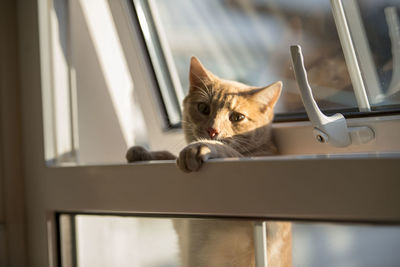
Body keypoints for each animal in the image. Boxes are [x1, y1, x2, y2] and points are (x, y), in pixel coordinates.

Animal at [126, 57, 292, 267]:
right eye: (204, 108)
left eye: (237, 117)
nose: (212, 131)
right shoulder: (181, 224)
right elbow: (167, 155)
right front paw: (145, 152)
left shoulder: (270, 227)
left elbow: (229, 150)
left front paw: (202, 146)